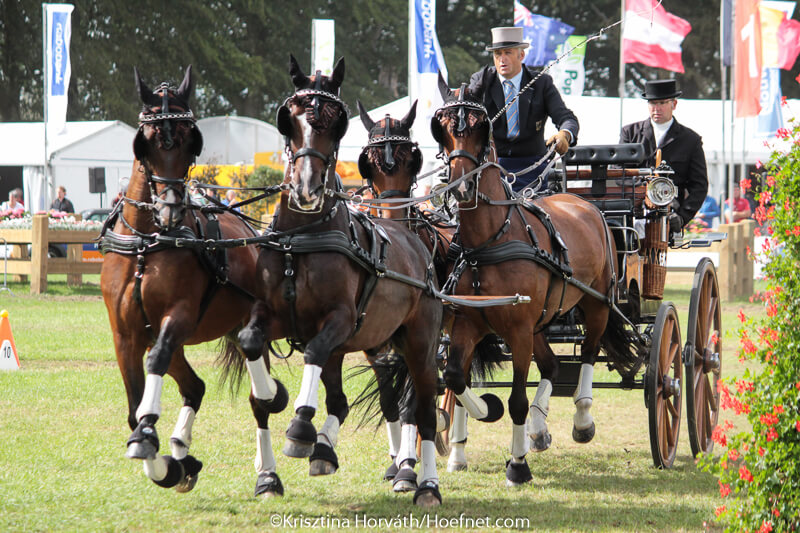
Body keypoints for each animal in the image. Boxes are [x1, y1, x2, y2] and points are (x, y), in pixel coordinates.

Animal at [100, 66, 288, 495]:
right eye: (147, 142)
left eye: (190, 144)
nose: (169, 209)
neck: (147, 242)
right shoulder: (126, 335)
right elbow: (135, 410)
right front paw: (163, 460)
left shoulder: (178, 316)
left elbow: (154, 366)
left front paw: (152, 442)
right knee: (195, 386)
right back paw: (182, 452)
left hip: (251, 324)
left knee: (258, 399)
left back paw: (268, 468)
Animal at [232, 55, 444, 506]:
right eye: (290, 119)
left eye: (336, 123)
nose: (307, 189)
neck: (301, 239)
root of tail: (416, 243)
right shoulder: (273, 313)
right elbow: (250, 342)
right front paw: (272, 399)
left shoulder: (340, 321)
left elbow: (312, 353)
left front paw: (299, 427)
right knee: (346, 401)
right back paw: (326, 451)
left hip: (419, 344)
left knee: (423, 409)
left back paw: (425, 483)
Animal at [430, 75, 641, 486]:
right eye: (441, 128)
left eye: (480, 127)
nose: (460, 186)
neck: (491, 240)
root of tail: (585, 204)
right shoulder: (469, 324)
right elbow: (456, 378)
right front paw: (485, 412)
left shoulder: (518, 331)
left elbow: (516, 400)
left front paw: (517, 465)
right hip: (542, 321)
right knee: (552, 366)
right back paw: (538, 431)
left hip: (595, 304)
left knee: (588, 353)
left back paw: (582, 420)